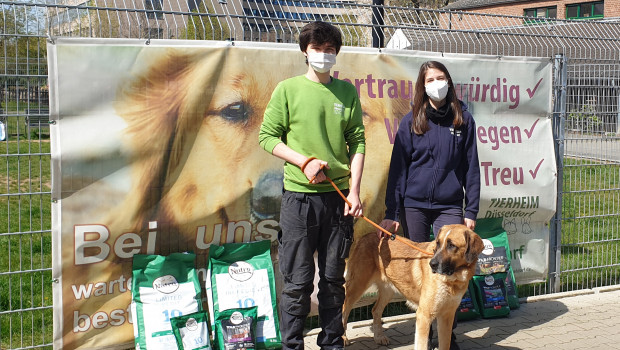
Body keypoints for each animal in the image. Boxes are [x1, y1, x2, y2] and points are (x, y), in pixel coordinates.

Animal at [344, 224, 484, 350]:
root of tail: (366, 236)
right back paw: (344, 338)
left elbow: (445, 344)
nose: (432, 264)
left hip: (388, 291)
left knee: (375, 310)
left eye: (452, 245)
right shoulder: (424, 315)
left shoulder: (447, 316)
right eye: (438, 244)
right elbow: (421, 345)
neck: (452, 280)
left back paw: (379, 337)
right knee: (344, 309)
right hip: (357, 287)